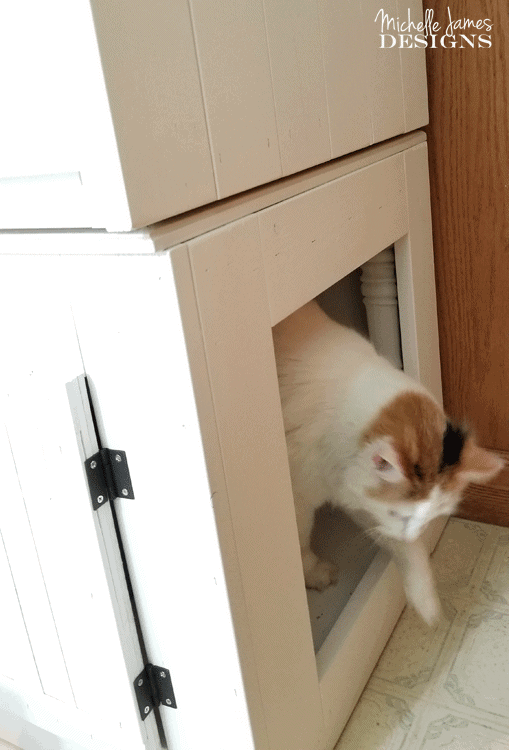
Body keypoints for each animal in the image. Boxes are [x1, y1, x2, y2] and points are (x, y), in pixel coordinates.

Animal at [272, 302, 502, 624]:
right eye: (398, 514)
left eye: (432, 517)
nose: (414, 534)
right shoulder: (299, 496)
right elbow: (301, 539)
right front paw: (313, 571)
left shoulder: (359, 500)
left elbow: (408, 552)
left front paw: (426, 601)